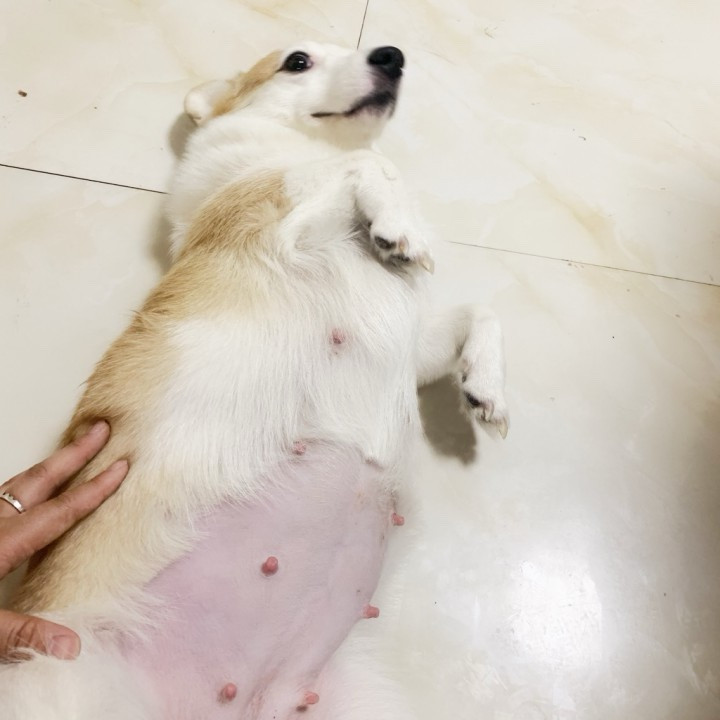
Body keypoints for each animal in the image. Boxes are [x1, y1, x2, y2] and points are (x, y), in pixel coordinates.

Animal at [0, 42, 508, 719]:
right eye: (297, 61)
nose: (392, 54)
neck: (301, 145)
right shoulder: (283, 228)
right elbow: (365, 164)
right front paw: (400, 225)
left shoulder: (415, 346)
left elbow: (480, 311)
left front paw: (486, 388)